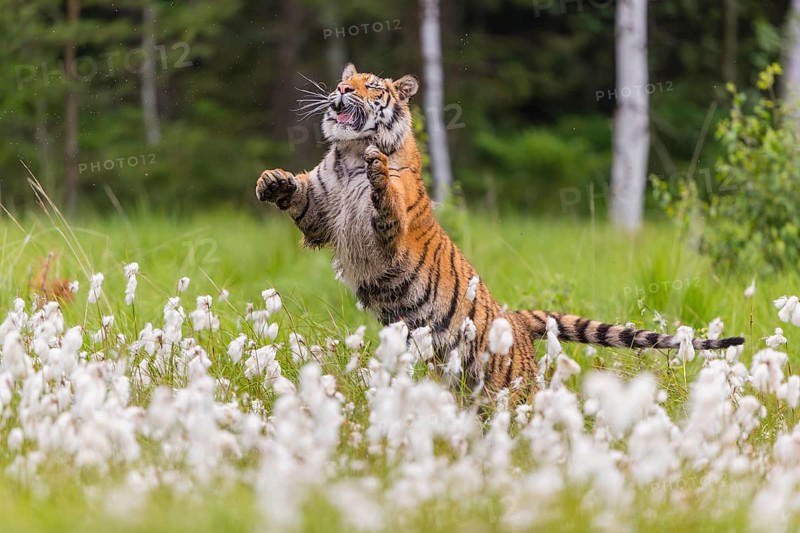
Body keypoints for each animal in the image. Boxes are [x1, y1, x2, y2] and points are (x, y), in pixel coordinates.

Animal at [255, 63, 744, 398]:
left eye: (371, 86)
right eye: (347, 81)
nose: (340, 90)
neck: (352, 152)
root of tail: (519, 318)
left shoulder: (387, 235)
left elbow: (386, 199)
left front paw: (379, 172)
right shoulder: (322, 213)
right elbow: (301, 198)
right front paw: (272, 180)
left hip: (511, 383)